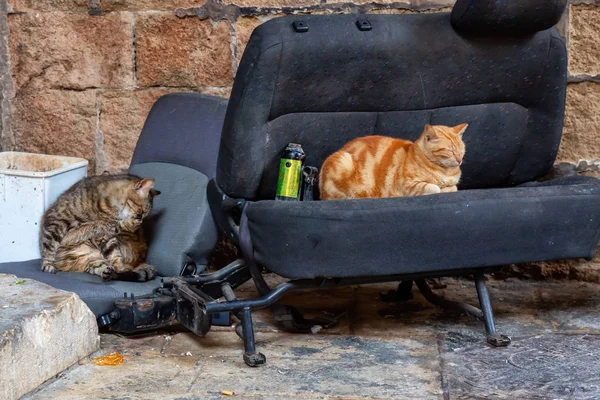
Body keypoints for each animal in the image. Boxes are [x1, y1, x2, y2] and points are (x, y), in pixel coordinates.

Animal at [318, 123, 468, 200]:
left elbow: (453, 187)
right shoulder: (408, 185)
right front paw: (440, 188)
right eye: (450, 151)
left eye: (461, 150)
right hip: (343, 162)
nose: (459, 160)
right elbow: (434, 187)